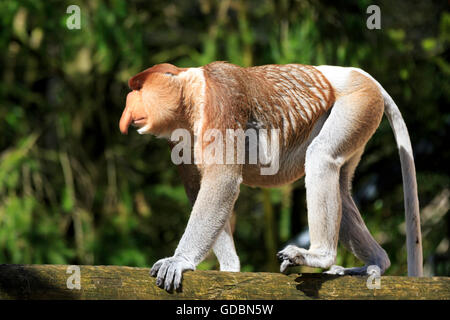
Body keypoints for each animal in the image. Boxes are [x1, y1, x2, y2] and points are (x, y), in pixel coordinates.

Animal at [118, 61, 422, 292]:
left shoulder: (222, 101)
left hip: (358, 102)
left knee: (321, 158)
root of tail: (360, 74)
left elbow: (222, 182)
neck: (192, 93)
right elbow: (197, 189)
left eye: (138, 88)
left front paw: (179, 261)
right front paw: (230, 269)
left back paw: (318, 256)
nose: (127, 109)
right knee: (340, 189)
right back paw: (374, 262)